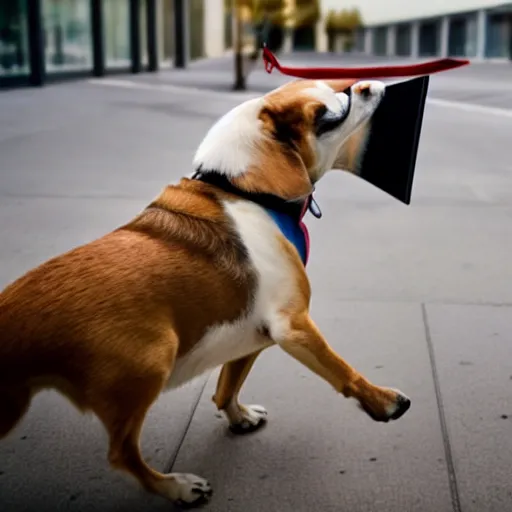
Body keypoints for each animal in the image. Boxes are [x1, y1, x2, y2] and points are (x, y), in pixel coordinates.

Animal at [0, 78, 408, 506]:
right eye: (327, 116)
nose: (369, 85)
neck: (244, 190)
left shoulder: (256, 334)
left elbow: (227, 386)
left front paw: (239, 418)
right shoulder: (294, 326)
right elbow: (343, 370)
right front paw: (383, 401)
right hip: (153, 358)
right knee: (121, 453)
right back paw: (176, 486)